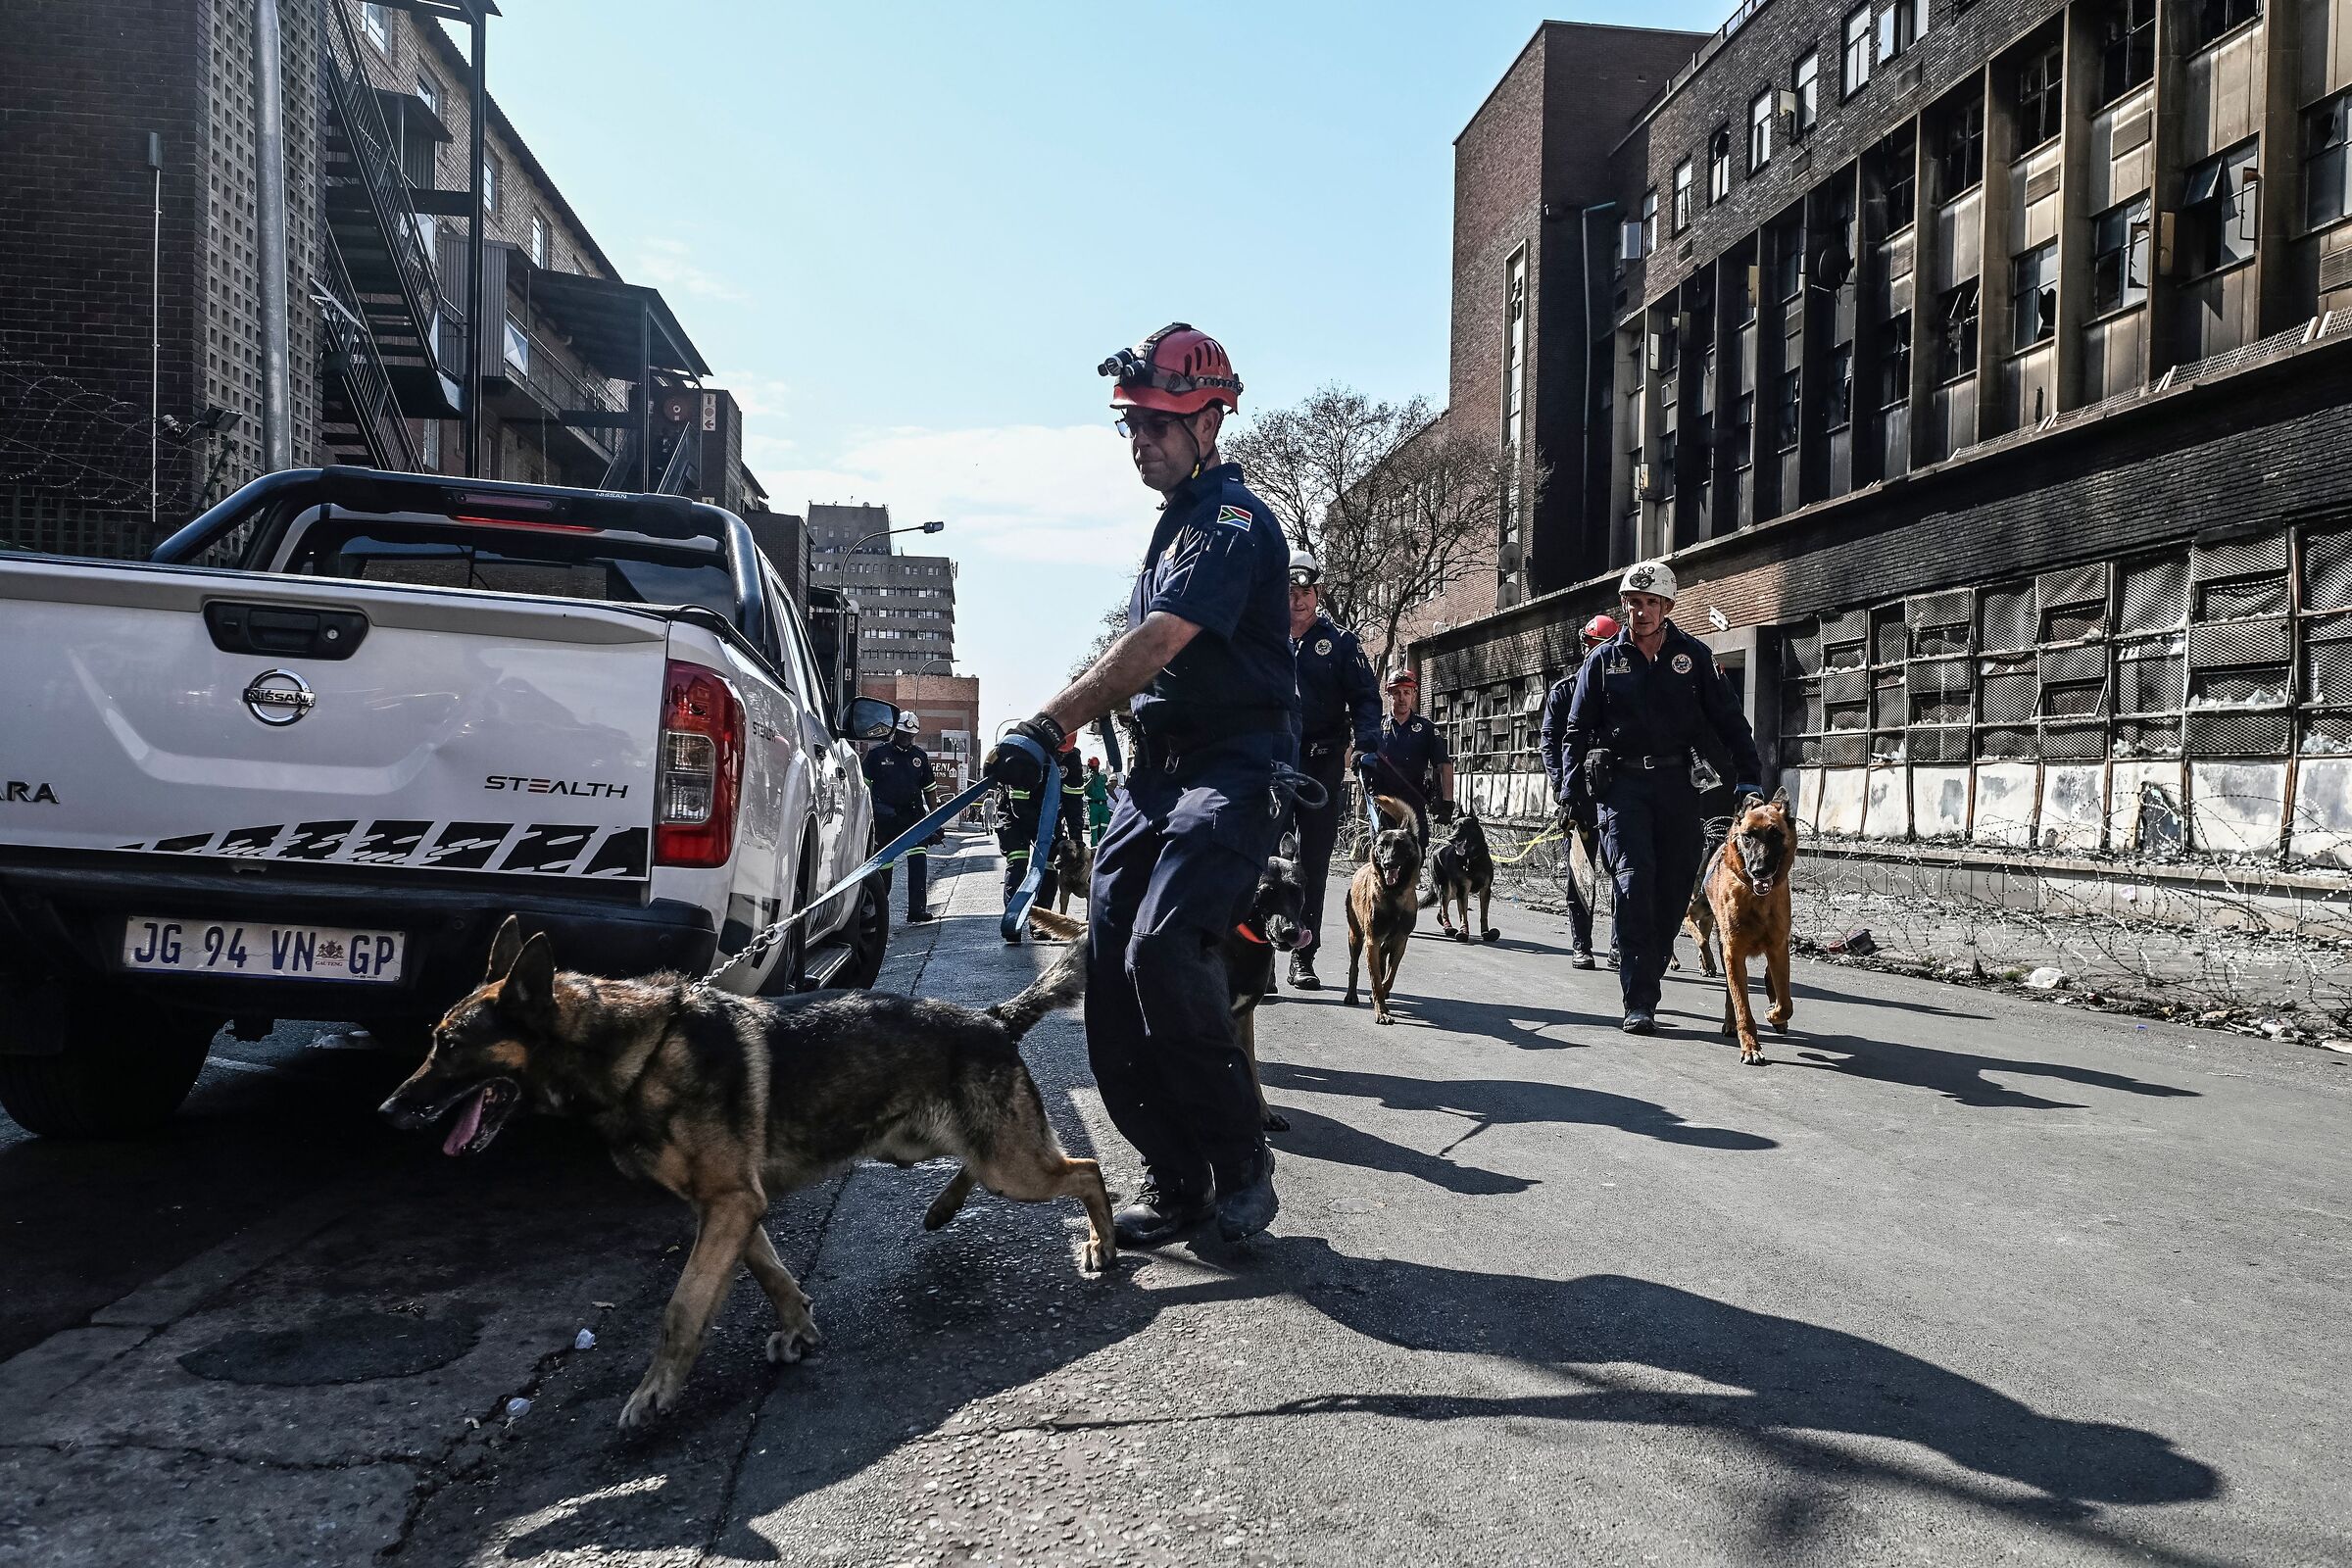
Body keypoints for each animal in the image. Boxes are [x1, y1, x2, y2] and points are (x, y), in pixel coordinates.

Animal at [380, 906, 1114, 1439]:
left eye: (449, 1045)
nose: (387, 1110)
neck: (637, 1052)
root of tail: (991, 1019)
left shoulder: (728, 1205)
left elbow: (681, 1308)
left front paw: (654, 1393)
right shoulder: (730, 1208)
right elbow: (769, 1272)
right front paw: (798, 1327)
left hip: (1011, 1167)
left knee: (1086, 1169)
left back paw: (1102, 1242)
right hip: (934, 1147)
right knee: (989, 1166)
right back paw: (944, 1208)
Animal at [1354, 799, 1420, 1029]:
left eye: (1400, 845)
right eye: (1382, 846)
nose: (1388, 864)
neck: (1394, 895)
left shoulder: (1400, 941)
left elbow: (1390, 975)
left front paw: (1383, 992)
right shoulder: (1372, 942)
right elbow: (1375, 980)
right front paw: (1381, 1010)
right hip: (1358, 938)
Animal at [1684, 785, 1788, 1067]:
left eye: (1776, 835)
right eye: (1748, 836)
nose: (1760, 870)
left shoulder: (1778, 948)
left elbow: (1784, 998)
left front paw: (1775, 1014)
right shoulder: (1730, 950)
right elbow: (1741, 1001)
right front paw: (1750, 1046)